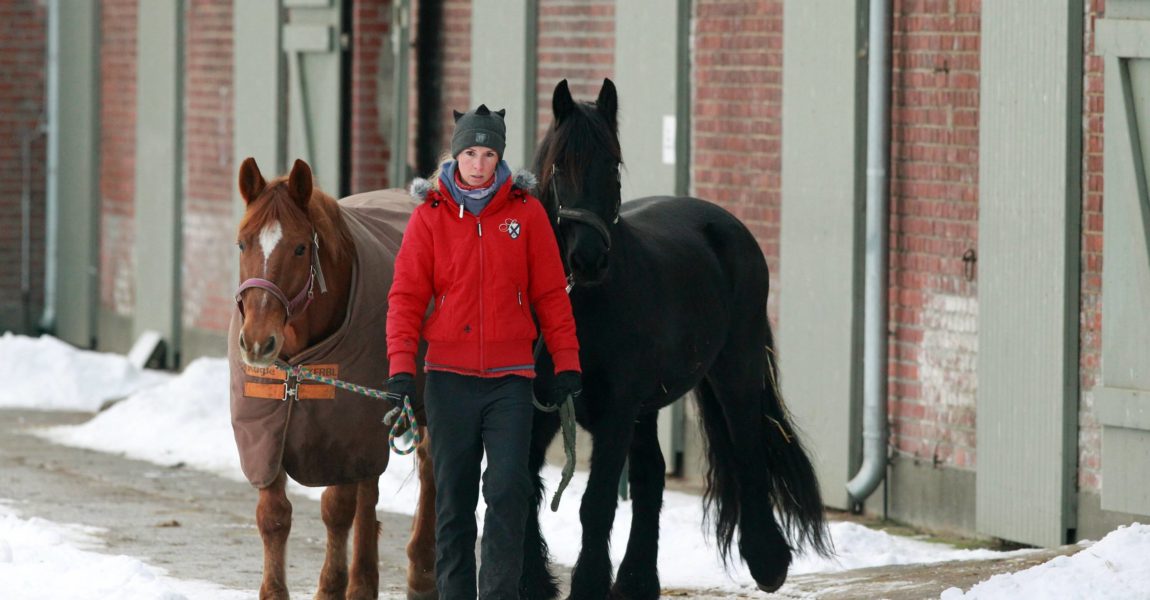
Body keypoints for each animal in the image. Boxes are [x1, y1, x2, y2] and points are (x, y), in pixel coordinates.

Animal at [231, 156, 437, 593]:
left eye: (299, 247)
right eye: (242, 243)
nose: (257, 341)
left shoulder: (342, 435)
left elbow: (337, 509)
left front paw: (330, 587)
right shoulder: (266, 433)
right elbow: (274, 515)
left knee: (428, 471)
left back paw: (420, 572)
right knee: (369, 491)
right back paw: (364, 581)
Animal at [524, 79, 837, 597]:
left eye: (613, 163)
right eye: (559, 165)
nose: (588, 259)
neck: (581, 305)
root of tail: (727, 225)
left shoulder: (616, 409)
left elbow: (597, 502)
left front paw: (586, 584)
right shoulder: (543, 406)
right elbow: (521, 482)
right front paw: (530, 579)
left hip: (735, 369)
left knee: (747, 447)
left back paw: (767, 561)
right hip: (649, 405)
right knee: (651, 475)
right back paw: (637, 580)